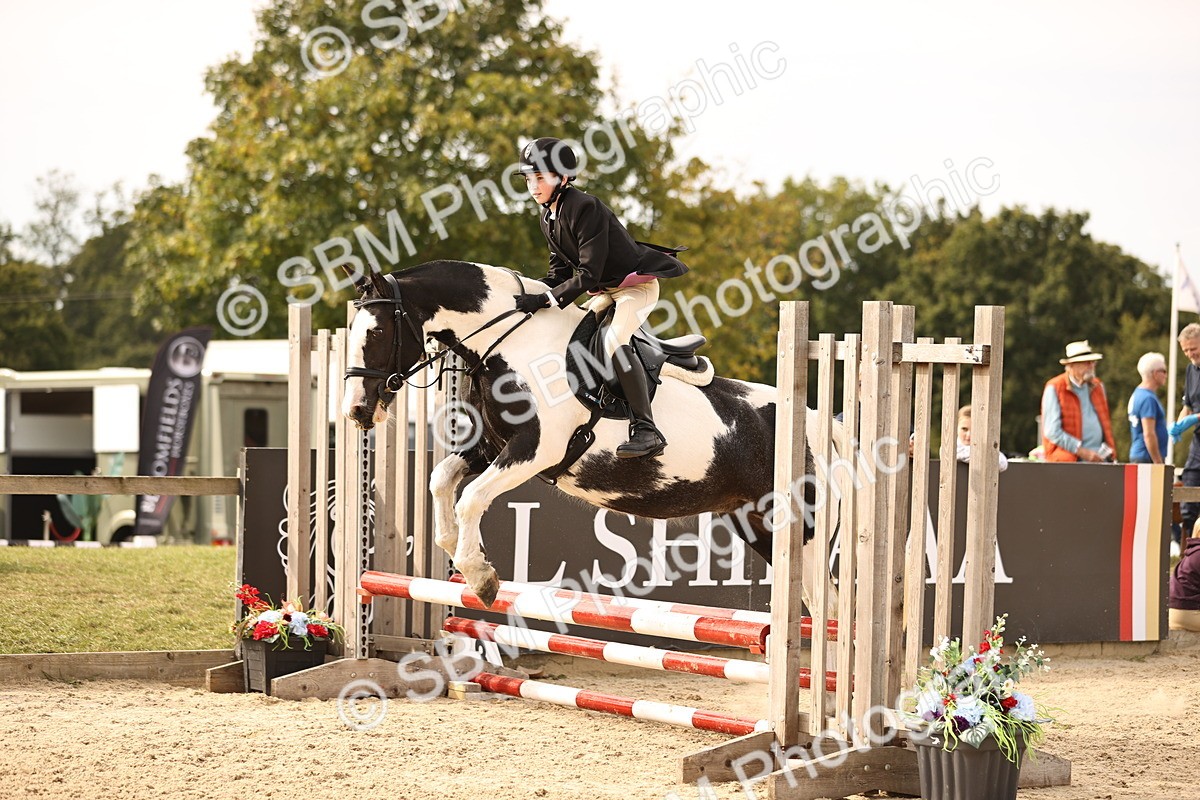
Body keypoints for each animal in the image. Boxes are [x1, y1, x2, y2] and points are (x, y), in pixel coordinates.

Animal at [341, 260, 843, 611]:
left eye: (379, 332)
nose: (357, 410)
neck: (511, 343)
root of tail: (821, 423)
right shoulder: (491, 446)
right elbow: (441, 480)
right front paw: (455, 548)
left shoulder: (534, 449)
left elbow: (471, 498)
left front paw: (480, 578)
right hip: (759, 524)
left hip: (804, 529)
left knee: (828, 606)